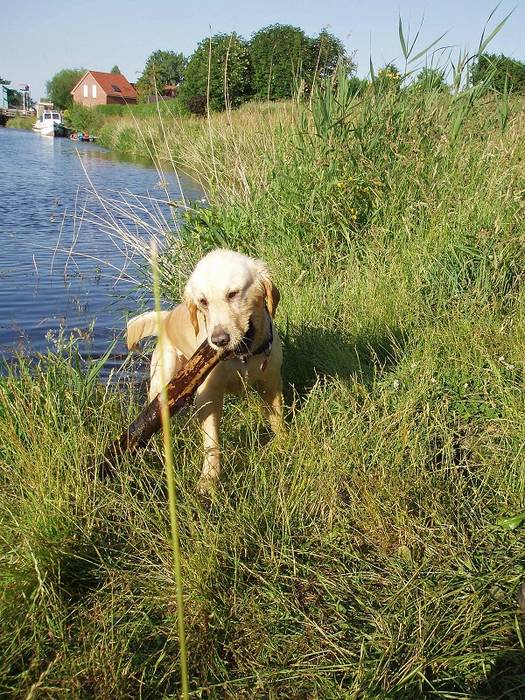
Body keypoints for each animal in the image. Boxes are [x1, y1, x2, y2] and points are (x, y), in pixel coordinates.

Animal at [126, 249, 282, 494]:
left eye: (233, 294)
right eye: (203, 302)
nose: (219, 340)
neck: (242, 357)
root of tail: (167, 317)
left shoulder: (271, 382)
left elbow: (278, 420)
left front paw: (284, 445)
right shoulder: (208, 395)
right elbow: (211, 442)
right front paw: (209, 480)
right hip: (162, 379)